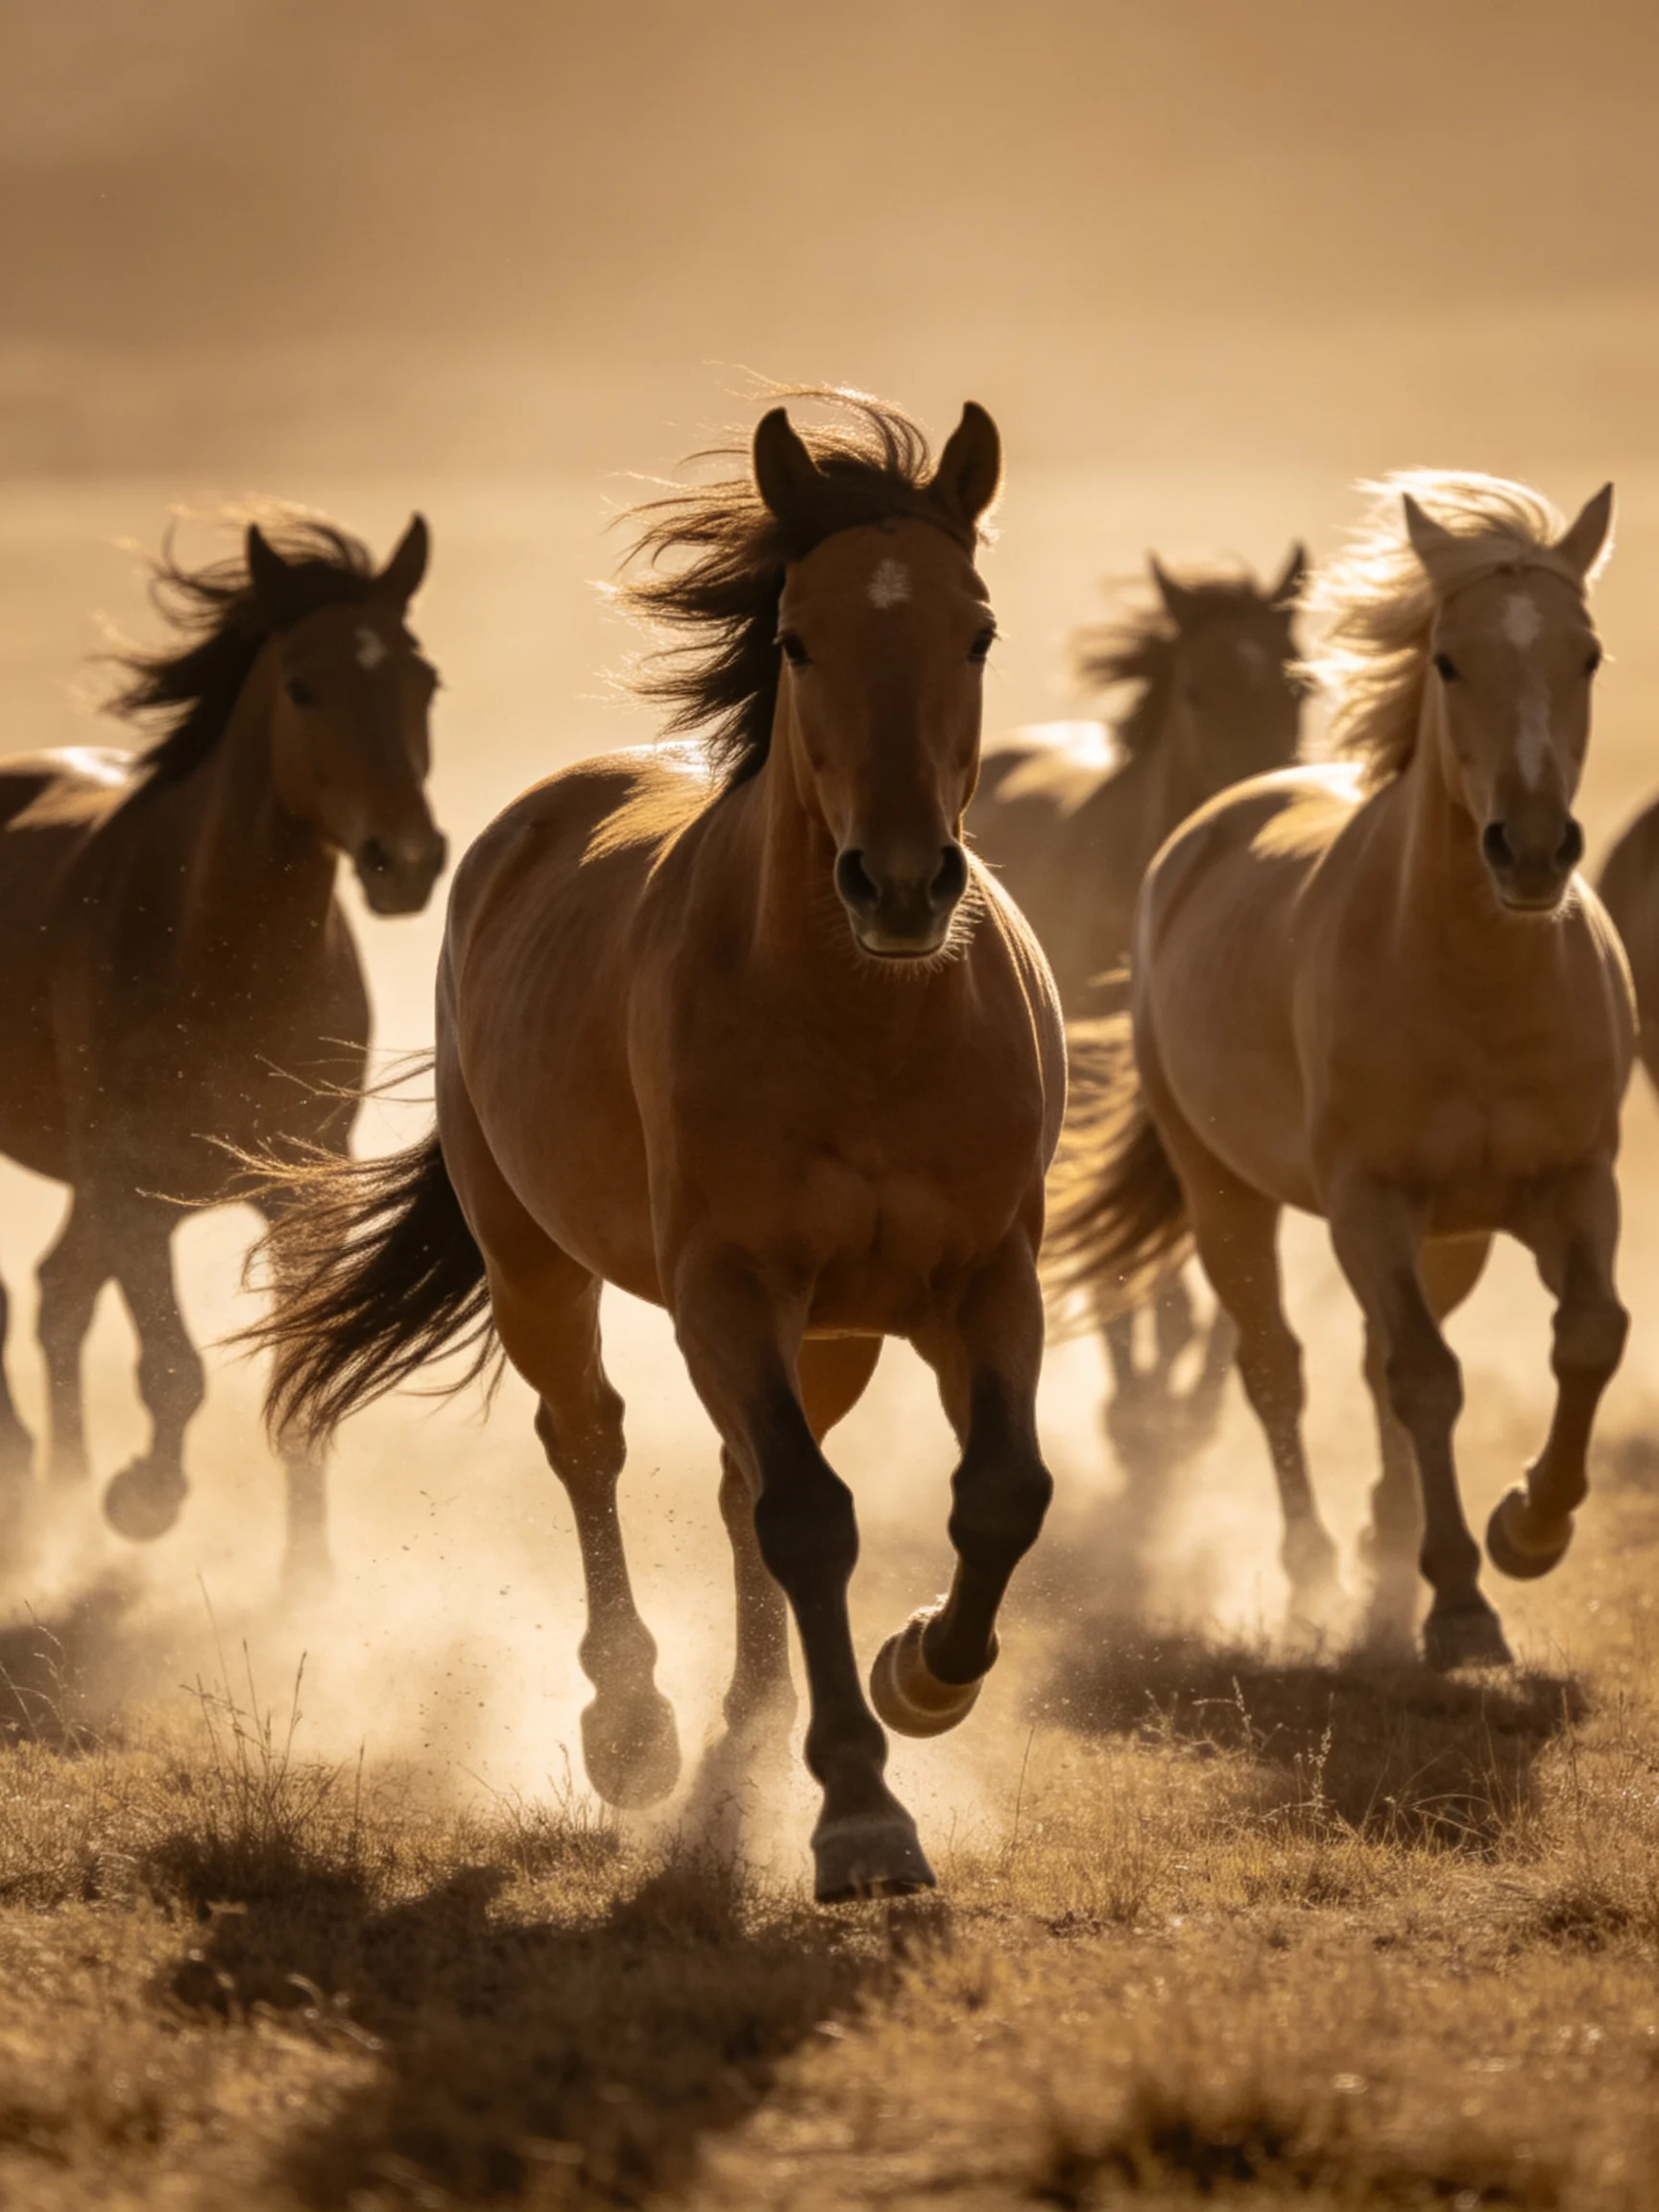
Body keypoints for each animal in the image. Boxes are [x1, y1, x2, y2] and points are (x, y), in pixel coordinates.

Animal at [0, 511, 446, 1586]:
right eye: (303, 686)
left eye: (424, 682)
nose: (407, 862)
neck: (215, 957)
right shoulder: (131, 1191)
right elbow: (173, 1371)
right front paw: (142, 1501)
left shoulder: (301, 1190)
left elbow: (298, 1374)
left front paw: (307, 1585)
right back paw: (43, 1491)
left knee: (56, 1301)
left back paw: (61, 1508)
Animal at [246, 391, 1066, 1901]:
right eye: (798, 638)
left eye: (975, 630)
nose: (902, 884)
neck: (867, 1022)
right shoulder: (724, 1288)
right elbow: (809, 1517)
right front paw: (860, 1812)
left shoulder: (983, 1280)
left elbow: (998, 1494)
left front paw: (921, 1675)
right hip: (541, 1268)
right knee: (593, 1444)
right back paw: (635, 1726)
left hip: (834, 1329)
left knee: (743, 1481)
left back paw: (759, 1713)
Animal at [1048, 473, 1629, 1668]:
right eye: (1448, 661)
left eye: (1587, 655)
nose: (1532, 850)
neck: (1482, 977)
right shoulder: (1370, 1201)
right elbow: (1422, 1378)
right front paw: (1460, 1604)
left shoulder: (1574, 1186)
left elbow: (1589, 1337)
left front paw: (1527, 1528)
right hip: (1228, 1197)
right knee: (1278, 1363)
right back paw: (1317, 1563)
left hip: (1450, 1233)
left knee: (1372, 1360)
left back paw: (1377, 1548)